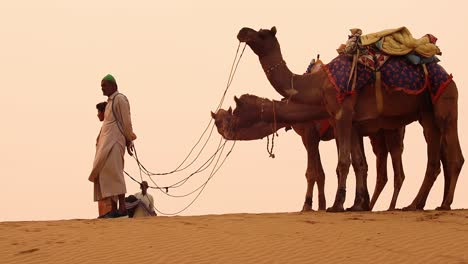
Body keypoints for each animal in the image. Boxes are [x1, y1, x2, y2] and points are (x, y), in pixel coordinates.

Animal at [212, 94, 406, 211]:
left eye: (228, 118)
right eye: (217, 123)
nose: (227, 133)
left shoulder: (309, 133)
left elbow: (312, 172)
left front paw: (307, 205)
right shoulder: (311, 138)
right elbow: (320, 173)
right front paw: (321, 205)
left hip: (390, 130)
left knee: (395, 164)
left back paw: (389, 207)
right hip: (376, 134)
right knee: (379, 164)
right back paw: (367, 205)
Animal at [236, 26, 462, 212]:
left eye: (262, 34)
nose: (242, 32)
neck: (317, 84)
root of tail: (448, 76)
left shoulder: (338, 117)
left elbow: (340, 163)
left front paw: (335, 205)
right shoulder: (351, 123)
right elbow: (358, 163)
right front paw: (356, 205)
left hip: (445, 101)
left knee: (453, 155)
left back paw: (441, 204)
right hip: (425, 113)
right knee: (433, 158)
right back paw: (415, 205)